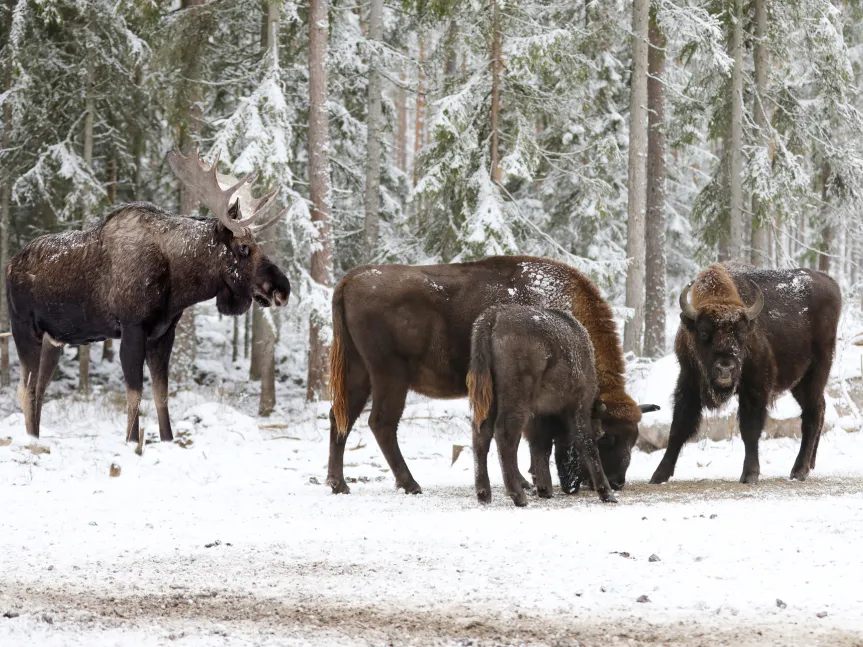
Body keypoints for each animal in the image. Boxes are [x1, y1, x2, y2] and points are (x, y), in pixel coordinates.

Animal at [5, 147, 292, 456]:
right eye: (243, 248)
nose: (283, 289)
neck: (178, 283)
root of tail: (9, 264)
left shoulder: (163, 333)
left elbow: (161, 394)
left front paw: (167, 441)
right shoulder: (132, 328)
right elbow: (135, 394)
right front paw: (133, 444)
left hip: (54, 340)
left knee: (39, 389)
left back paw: (36, 440)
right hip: (24, 329)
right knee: (25, 389)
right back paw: (30, 443)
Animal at [466, 306, 616, 508]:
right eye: (601, 434)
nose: (571, 485)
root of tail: (494, 316)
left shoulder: (540, 413)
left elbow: (540, 444)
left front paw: (544, 488)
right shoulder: (578, 405)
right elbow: (586, 442)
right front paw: (607, 493)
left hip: (489, 399)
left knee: (481, 434)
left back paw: (484, 495)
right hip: (516, 400)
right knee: (505, 434)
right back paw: (518, 496)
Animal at [652, 264, 840, 486]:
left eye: (741, 333)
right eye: (704, 332)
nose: (725, 368)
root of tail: (831, 283)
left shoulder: (755, 387)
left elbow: (750, 429)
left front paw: (750, 474)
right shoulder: (688, 381)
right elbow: (678, 428)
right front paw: (659, 475)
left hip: (817, 373)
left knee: (811, 416)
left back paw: (799, 471)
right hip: (799, 383)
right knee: (820, 409)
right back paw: (809, 465)